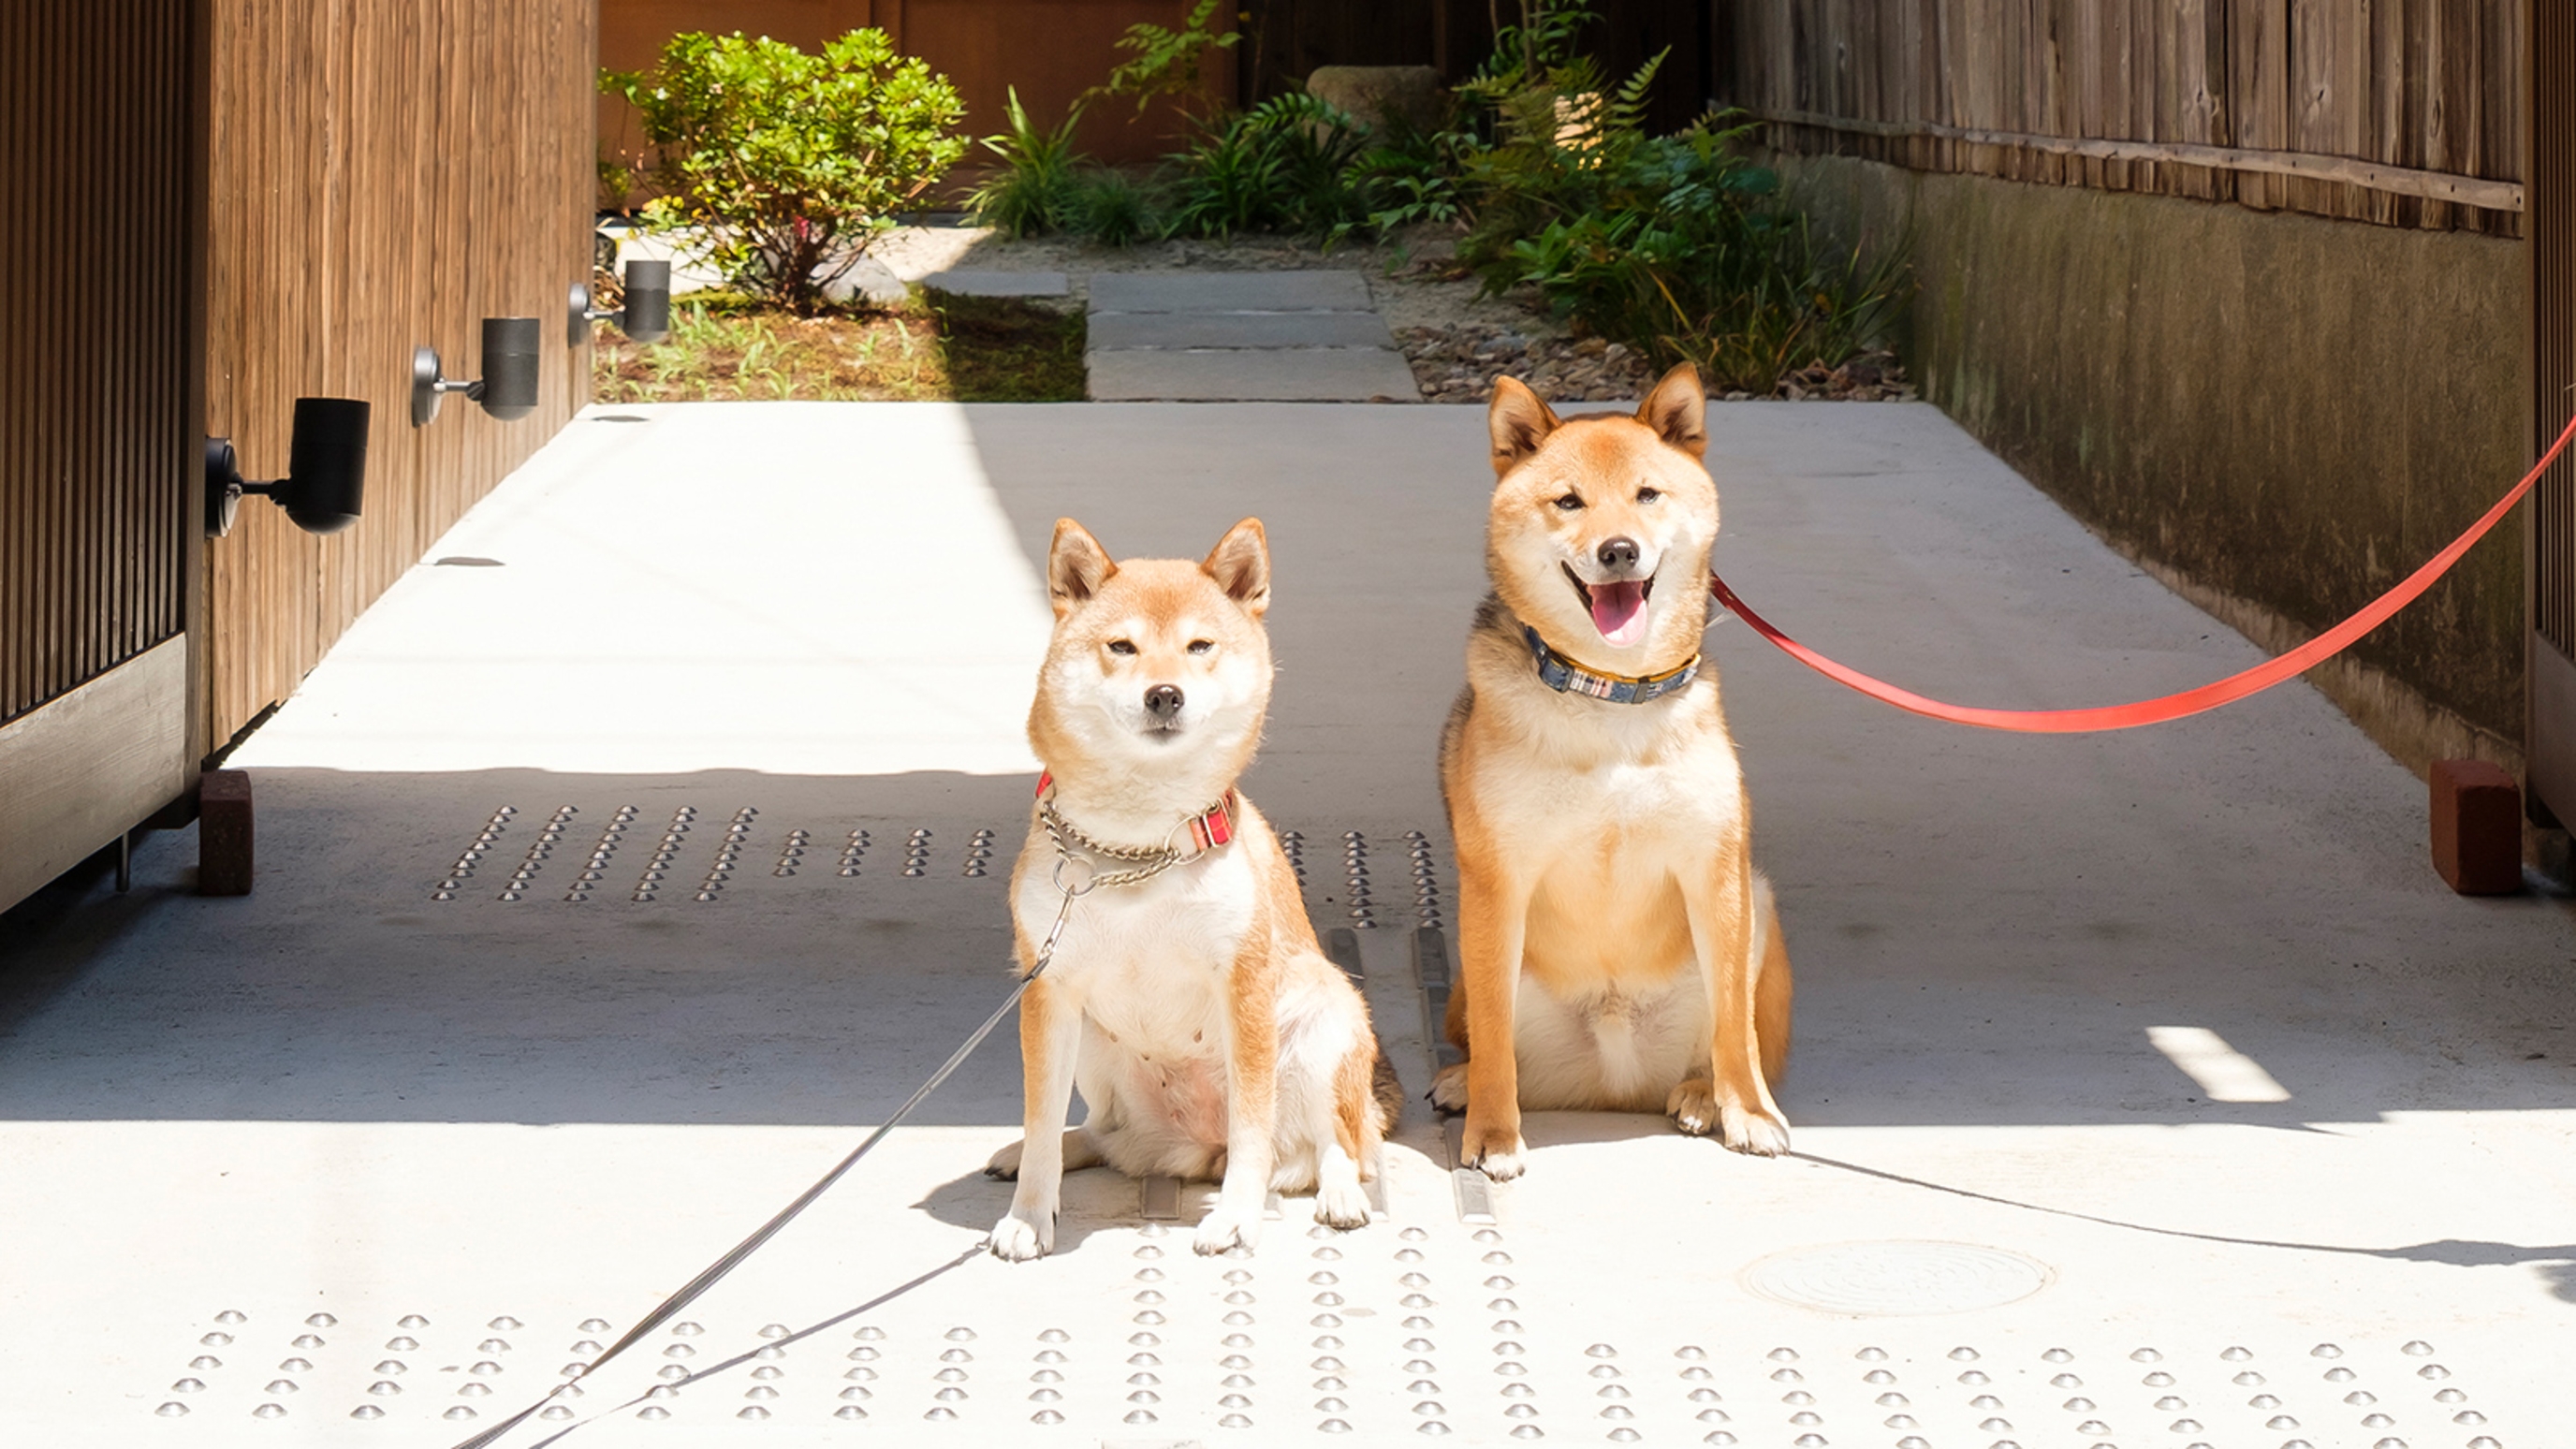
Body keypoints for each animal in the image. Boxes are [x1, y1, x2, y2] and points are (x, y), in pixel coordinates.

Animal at [984, 515, 1401, 1252]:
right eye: (1122, 646)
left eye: (1199, 645)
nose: (1164, 694)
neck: (1136, 848)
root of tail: (1196, 1148)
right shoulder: (1050, 991)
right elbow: (1039, 1122)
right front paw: (1029, 1218)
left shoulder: (1242, 986)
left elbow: (1253, 1131)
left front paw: (1235, 1216)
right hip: (1094, 1044)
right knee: (1098, 1131)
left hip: (1326, 1022)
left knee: (1343, 1142)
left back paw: (1342, 1194)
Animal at [1432, 360, 1793, 1176]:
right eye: (1569, 501)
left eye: (1647, 494)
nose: (1619, 550)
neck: (1611, 695)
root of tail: (1612, 1083)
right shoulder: (1498, 879)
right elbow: (1495, 1032)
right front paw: (1494, 1131)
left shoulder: (1716, 870)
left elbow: (1735, 1025)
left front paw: (1748, 1112)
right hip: (1474, 959)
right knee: (1489, 1039)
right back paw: (1465, 1083)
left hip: (1757, 902)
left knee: (1729, 1037)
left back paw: (1701, 1095)